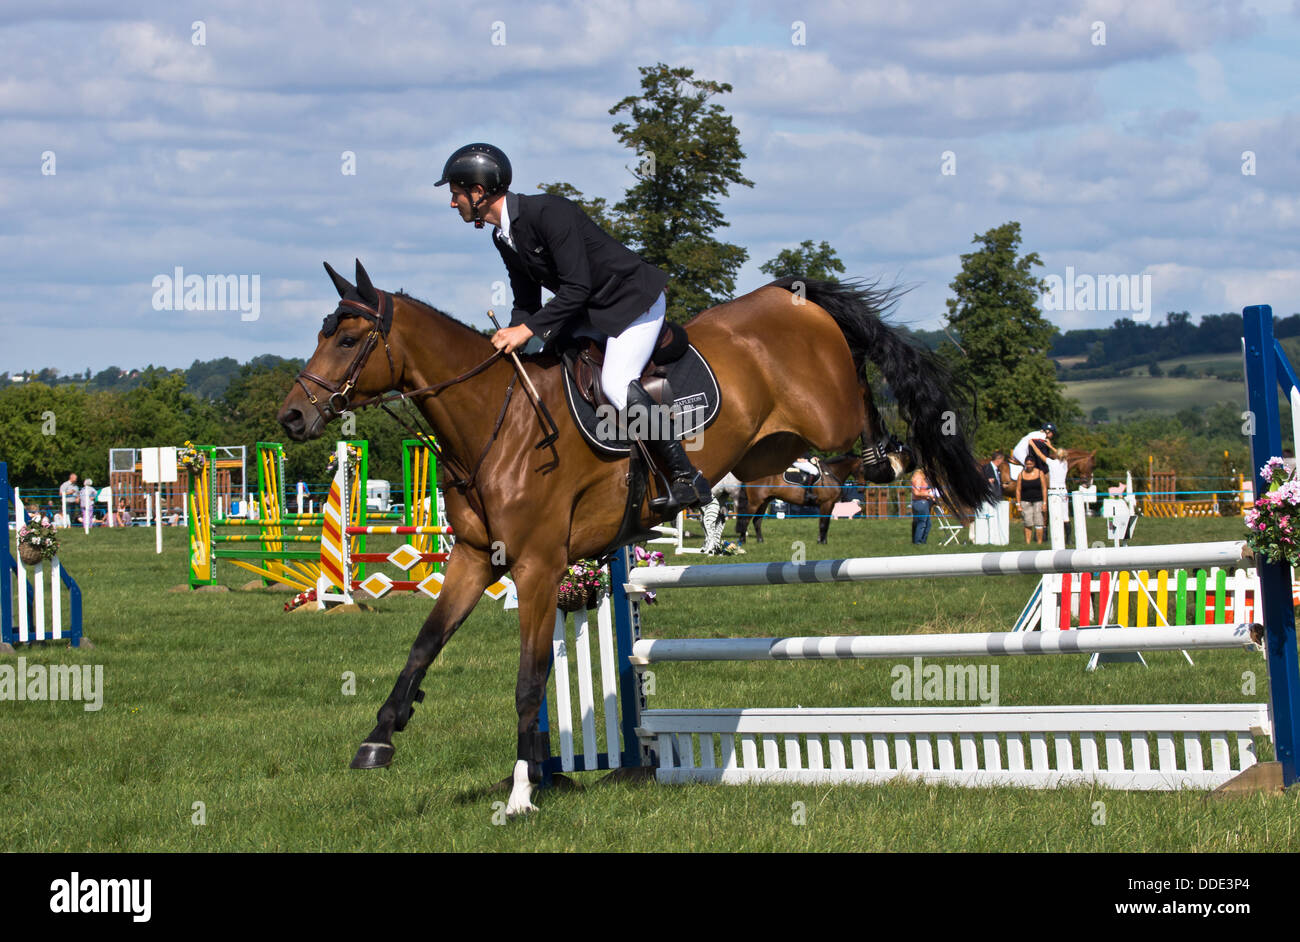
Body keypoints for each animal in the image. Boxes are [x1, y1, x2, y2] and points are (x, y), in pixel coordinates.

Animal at [733, 454, 863, 543]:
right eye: (862, 469)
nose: (861, 489)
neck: (830, 474)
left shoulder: (828, 505)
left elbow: (825, 522)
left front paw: (822, 540)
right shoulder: (827, 503)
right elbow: (823, 523)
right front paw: (822, 542)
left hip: (764, 502)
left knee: (757, 520)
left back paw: (760, 541)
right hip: (755, 502)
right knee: (746, 519)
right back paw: (742, 541)